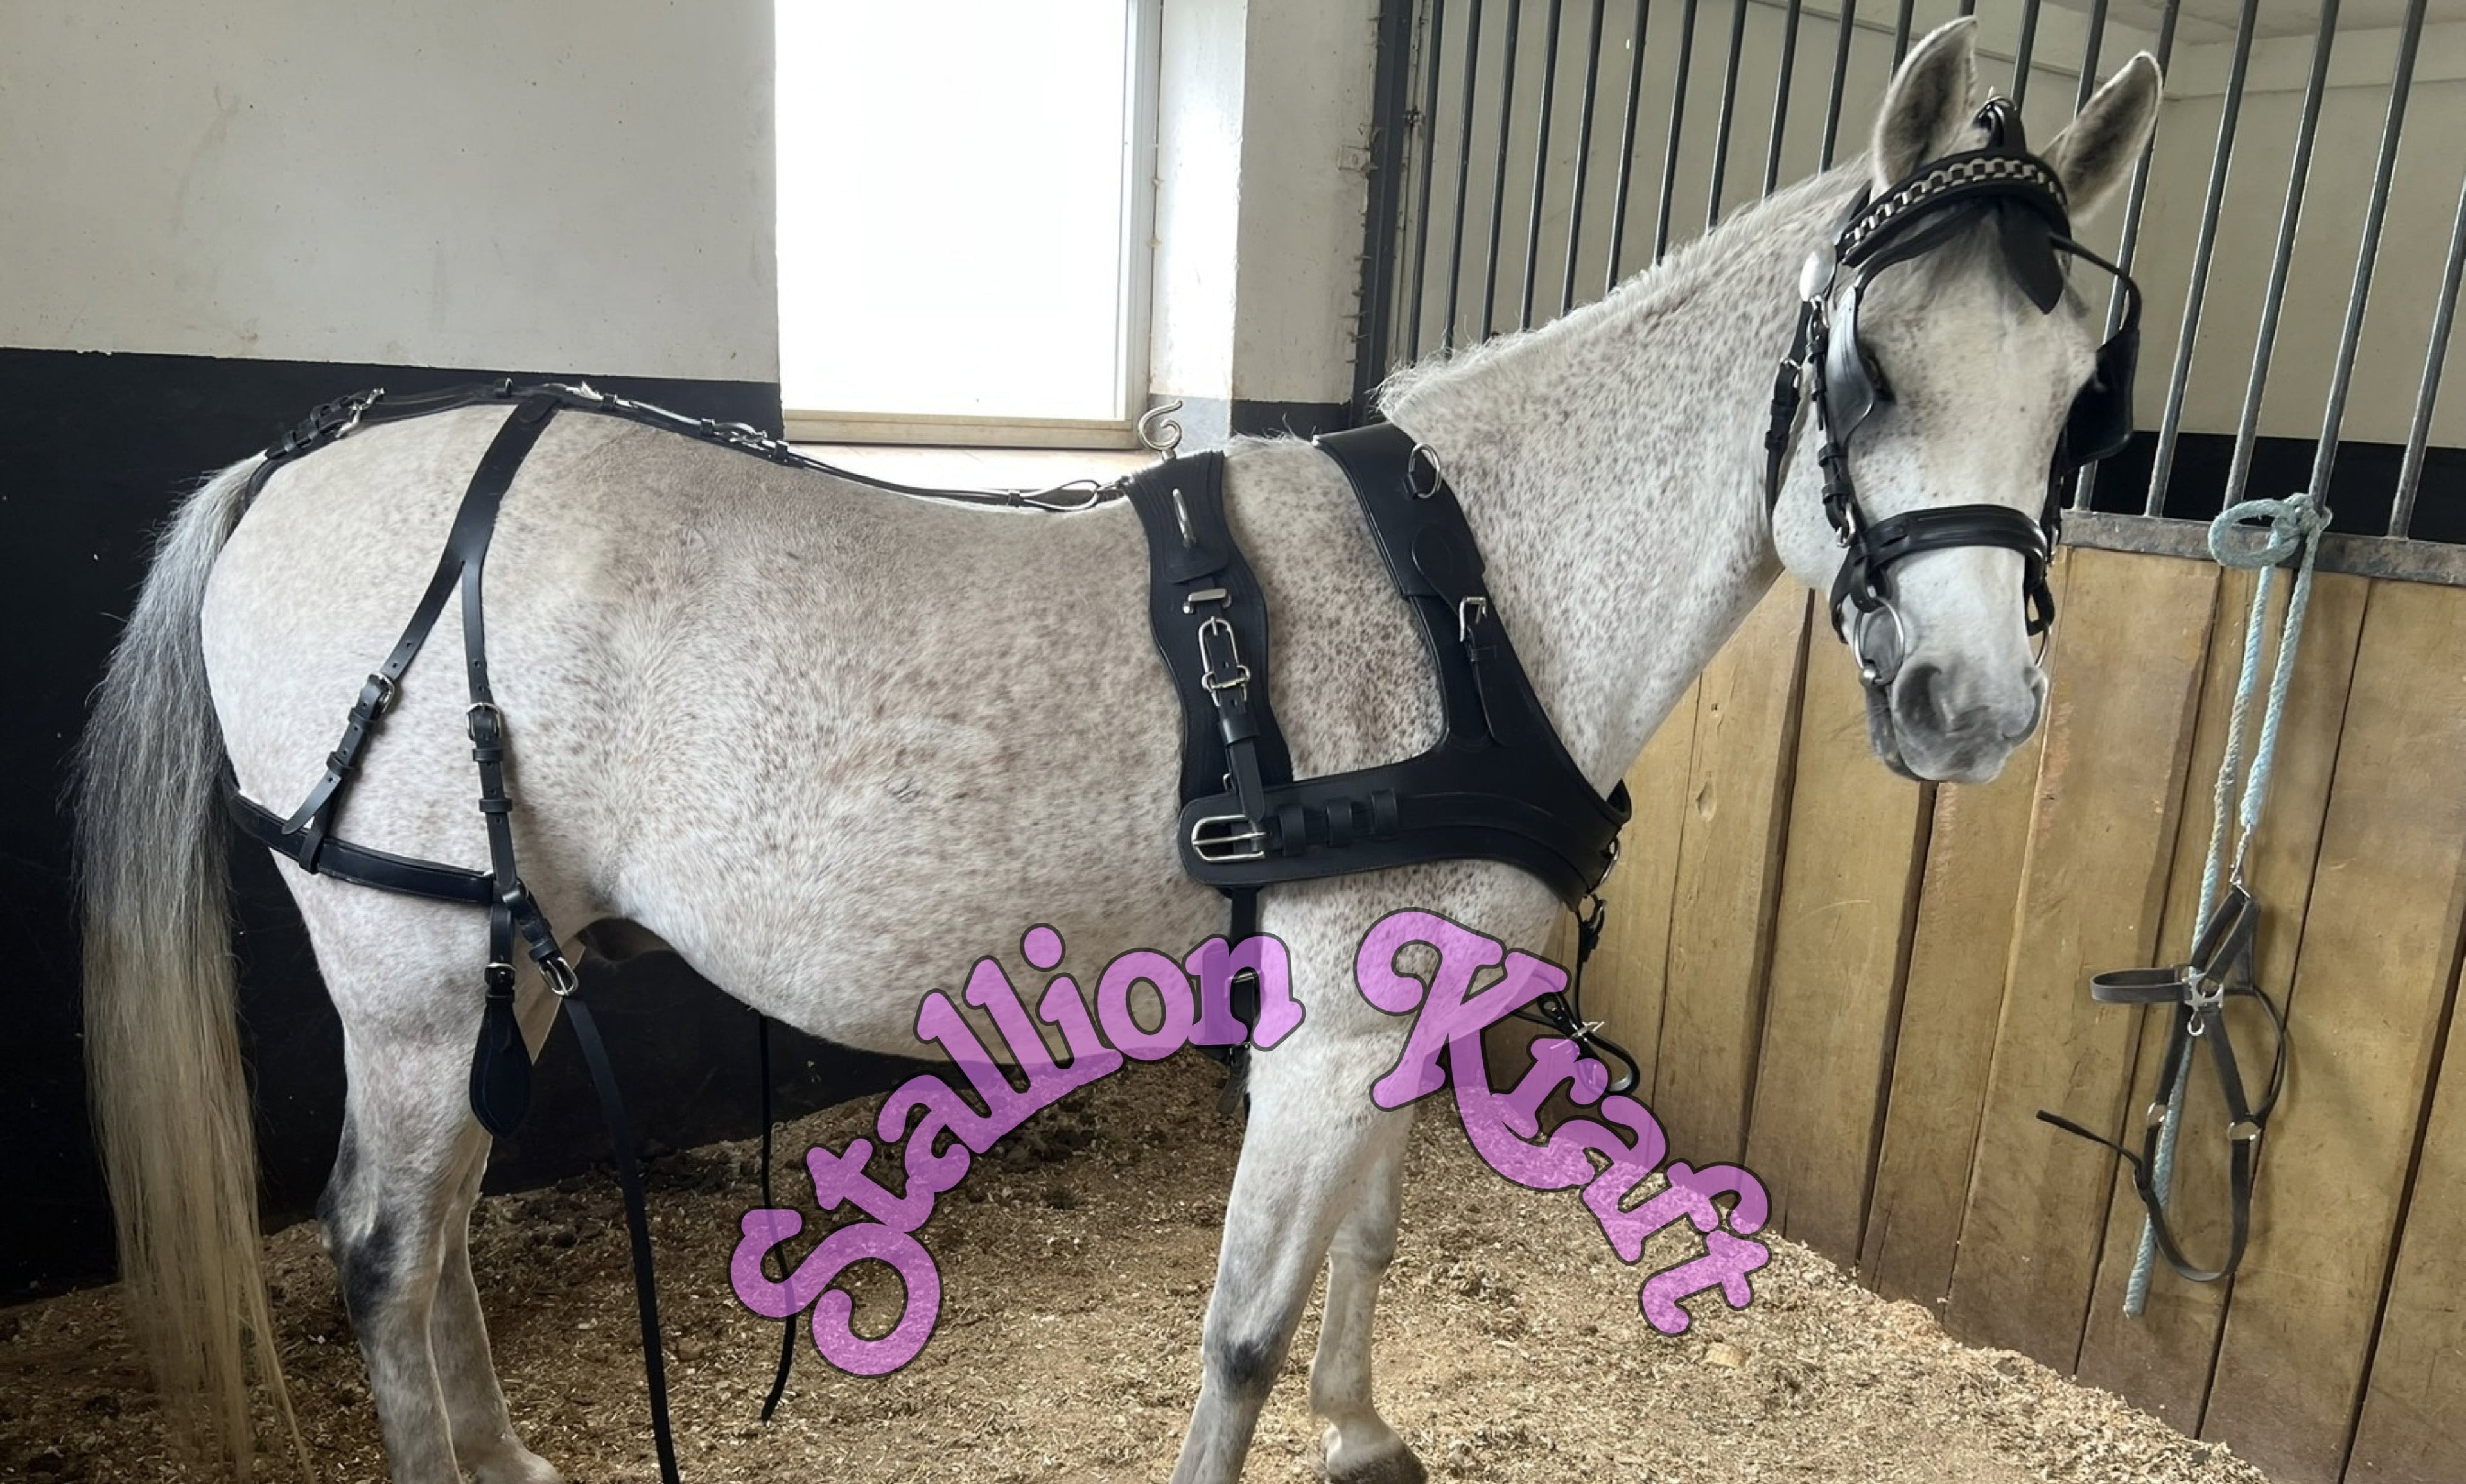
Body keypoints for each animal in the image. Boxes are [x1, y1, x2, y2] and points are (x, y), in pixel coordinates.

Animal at [76, 20, 2157, 1484]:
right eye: (1865, 370)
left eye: (2080, 400)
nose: (1971, 706)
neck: (1470, 590)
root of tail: (293, 462)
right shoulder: (1321, 1025)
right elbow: (1239, 1321)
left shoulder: (1409, 997)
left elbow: (1370, 1243)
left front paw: (1360, 1431)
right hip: (412, 961)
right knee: (376, 1239)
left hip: (491, 950)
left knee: (428, 1235)